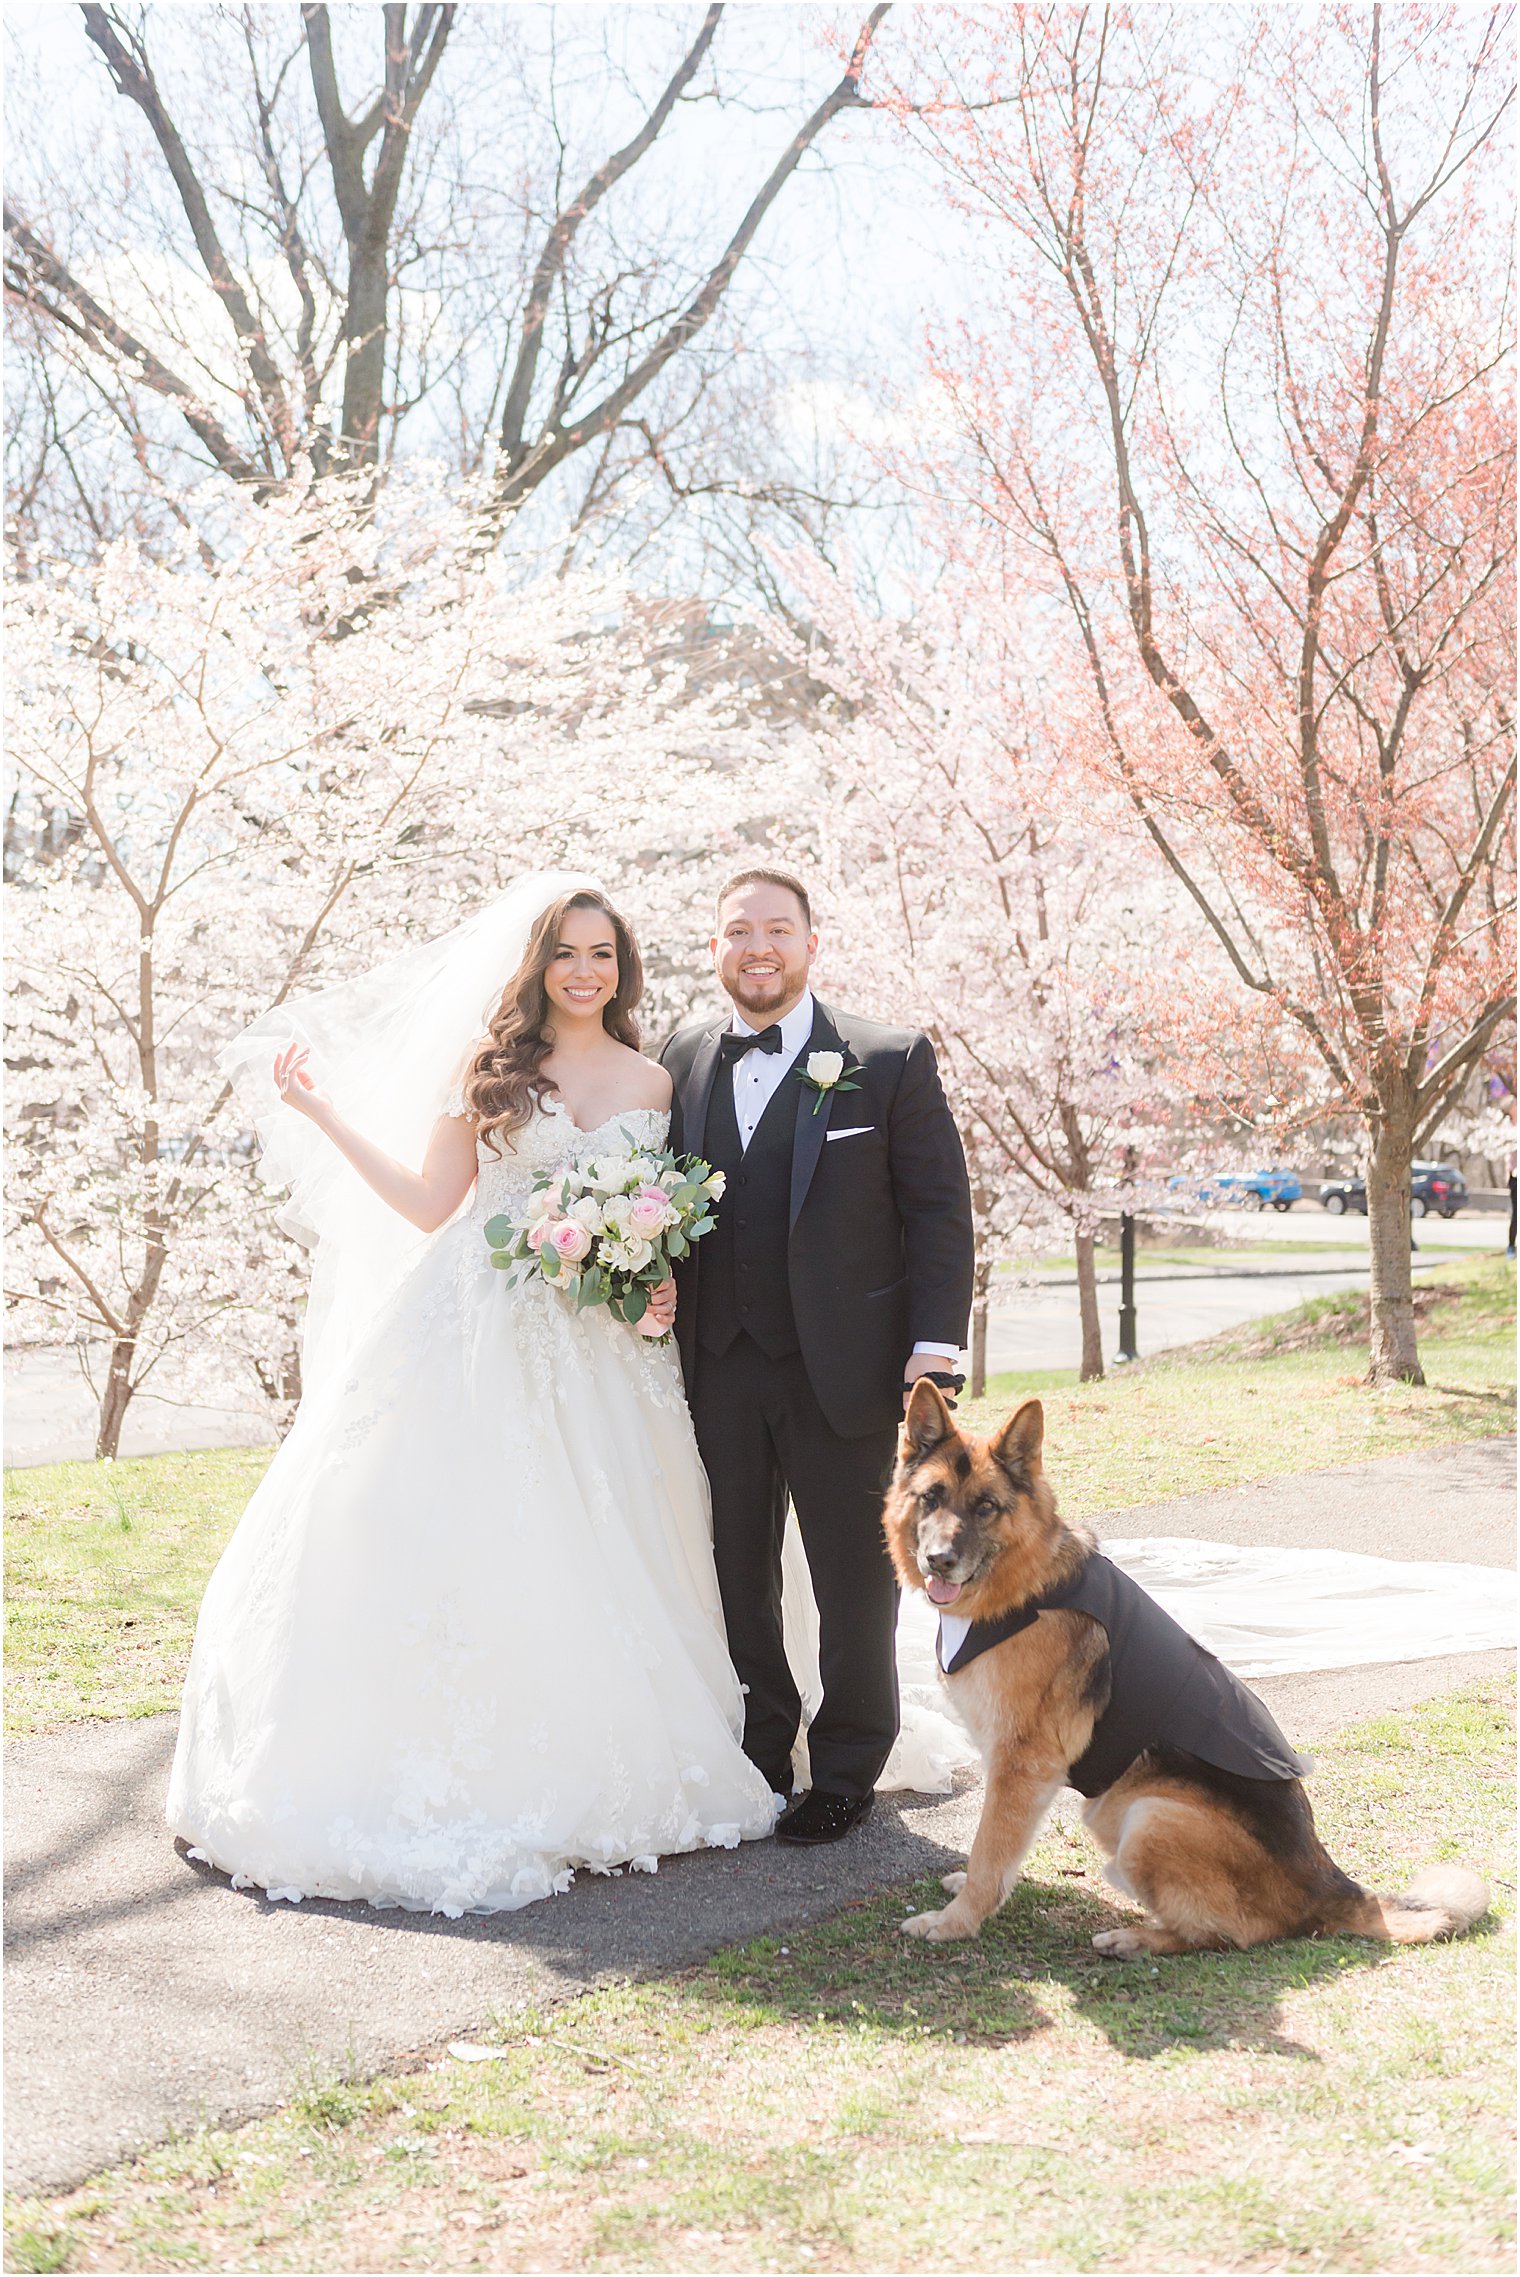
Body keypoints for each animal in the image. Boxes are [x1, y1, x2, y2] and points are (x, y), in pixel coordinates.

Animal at [882, 1375, 1492, 1967]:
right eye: (932, 1497)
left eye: (985, 1506)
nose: (938, 1561)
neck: (1022, 1586)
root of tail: (1329, 1882)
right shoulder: (1019, 1769)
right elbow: (1000, 1849)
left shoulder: (1022, 1762)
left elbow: (991, 1845)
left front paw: (956, 1922)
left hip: (1149, 1817)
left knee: (1232, 1934)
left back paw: (1137, 1939)